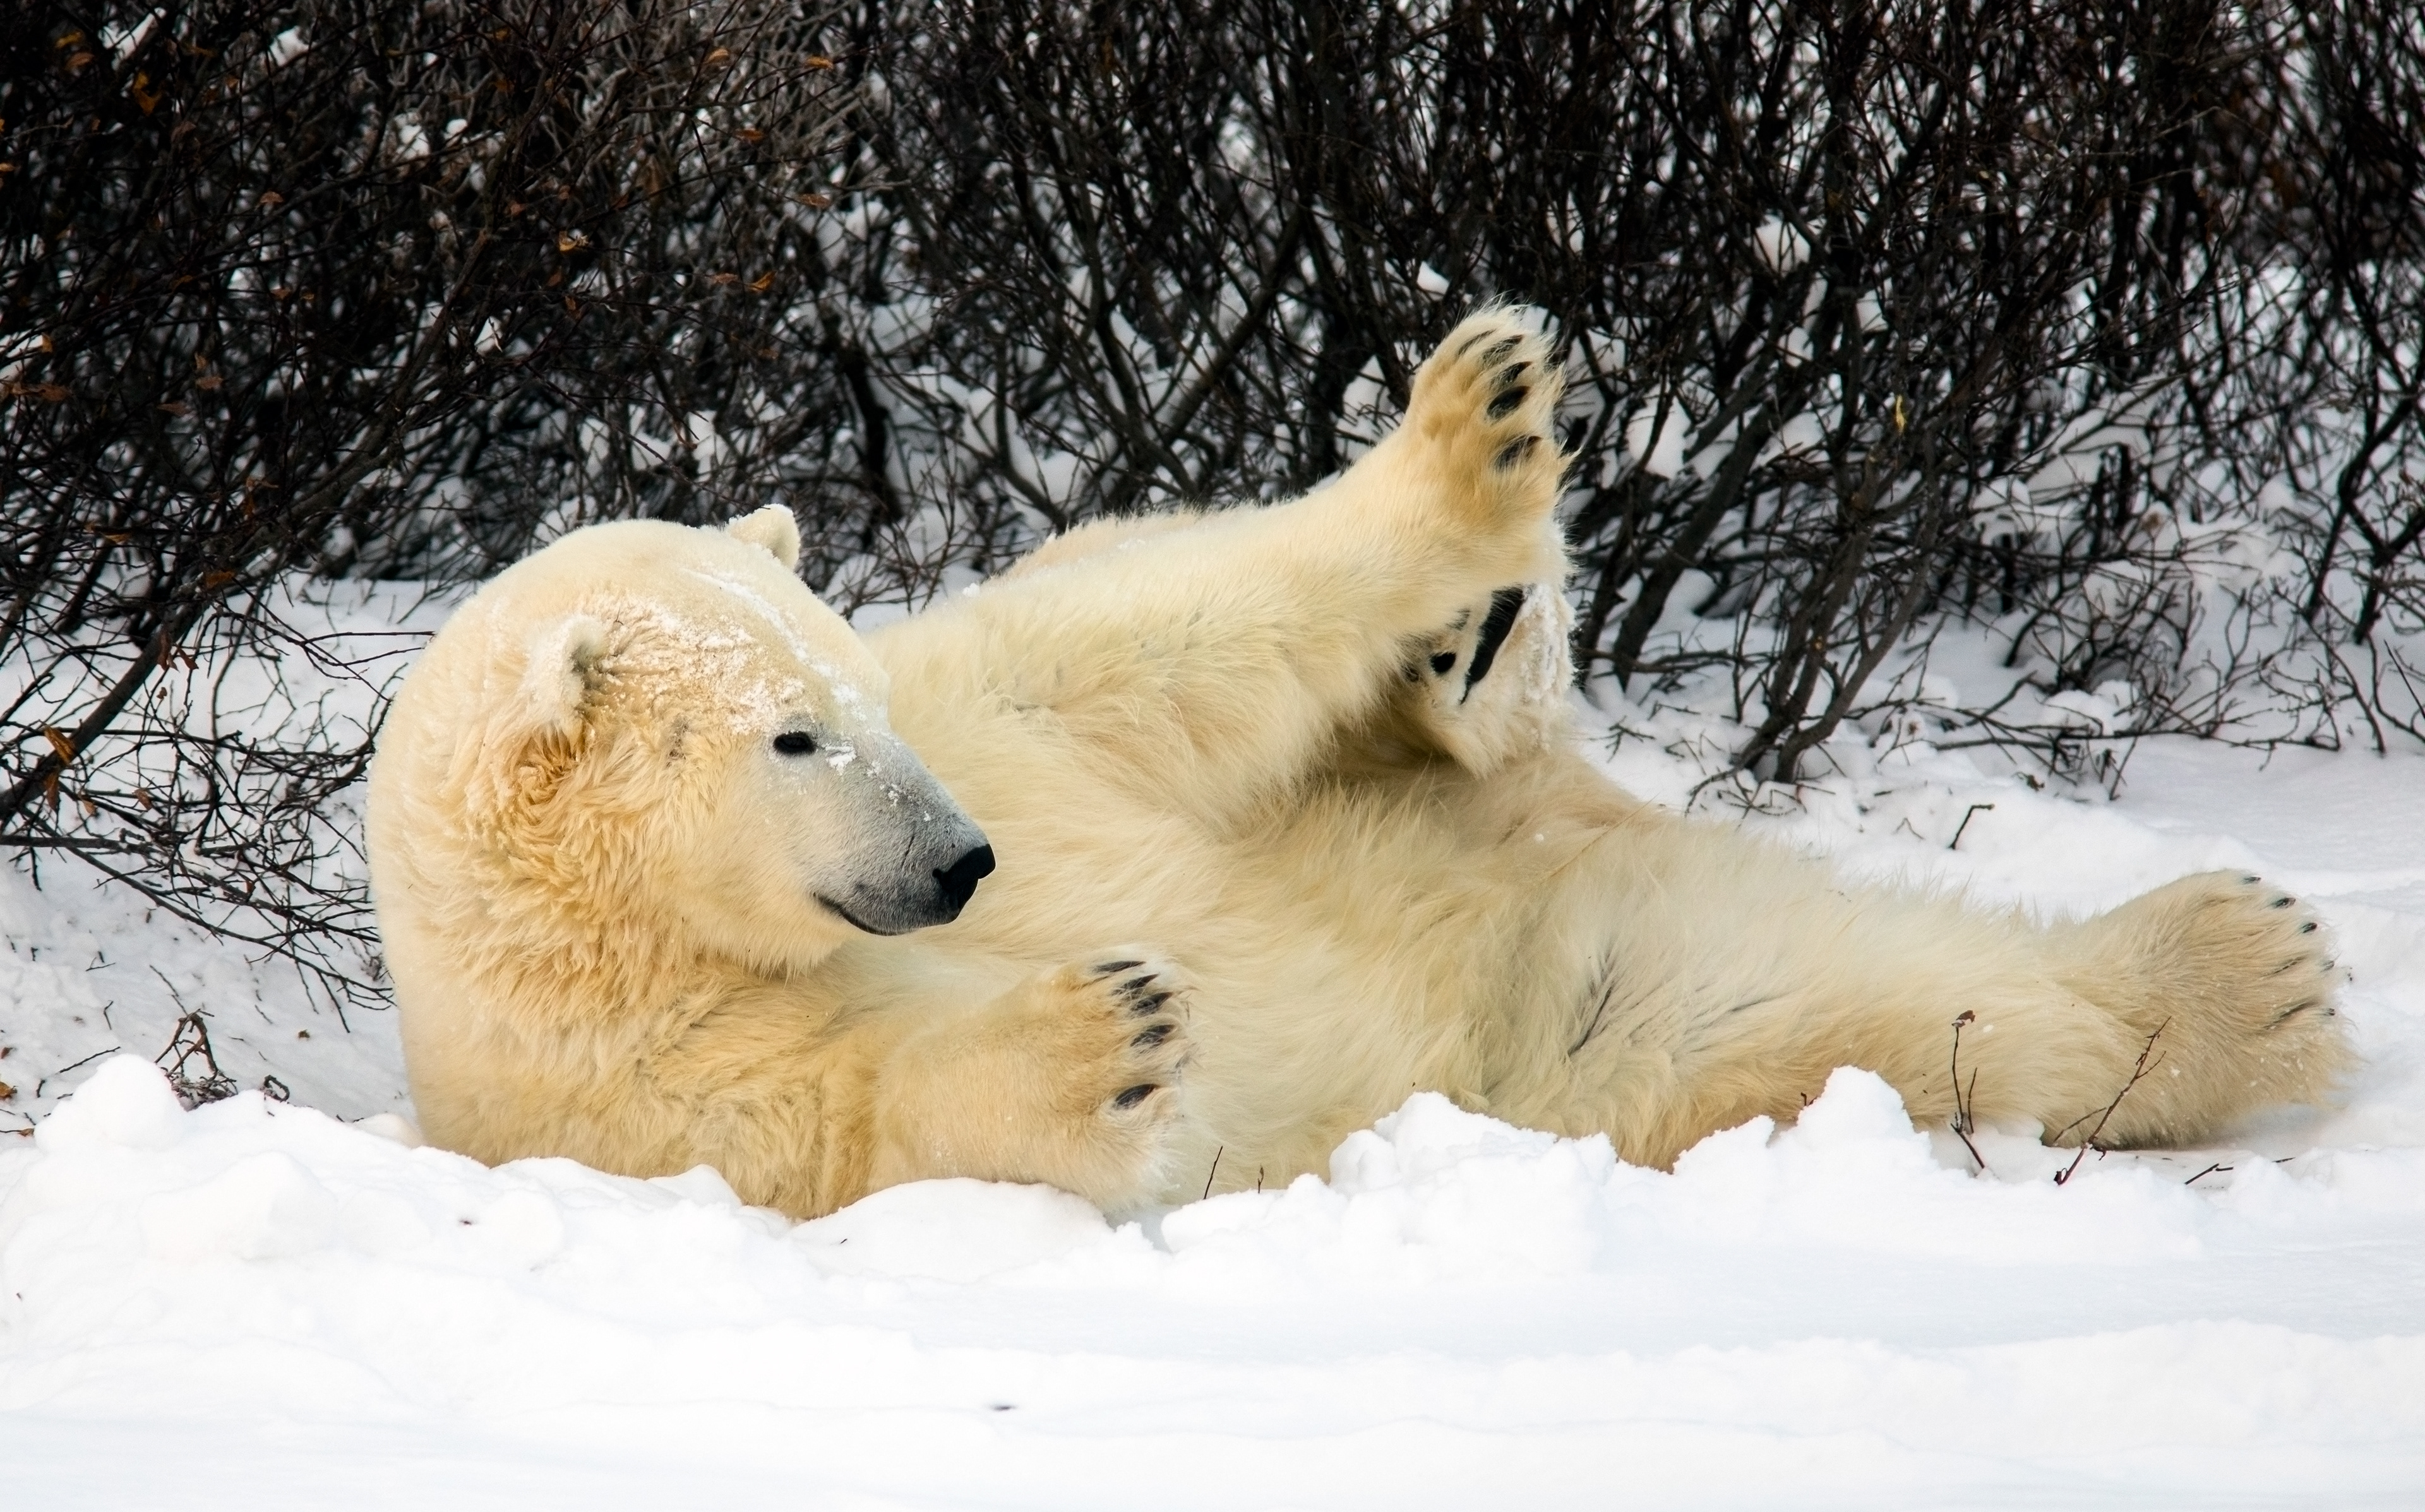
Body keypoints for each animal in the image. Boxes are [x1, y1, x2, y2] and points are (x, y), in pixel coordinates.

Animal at [366, 308, 2351, 1220]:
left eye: (865, 697)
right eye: (791, 735)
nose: (963, 864)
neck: (626, 938)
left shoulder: (1007, 704)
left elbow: (1173, 641)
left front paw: (1472, 432)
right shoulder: (621, 1089)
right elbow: (860, 1121)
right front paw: (1109, 1026)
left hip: (1481, 839)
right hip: (1580, 1012)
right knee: (1833, 998)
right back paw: (2254, 972)